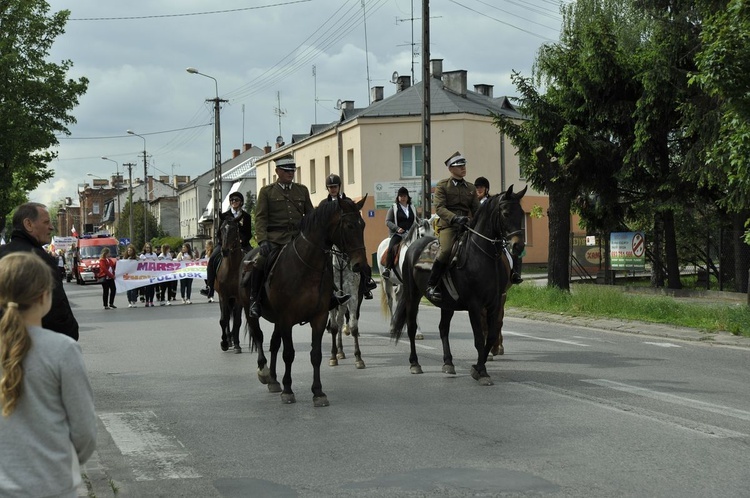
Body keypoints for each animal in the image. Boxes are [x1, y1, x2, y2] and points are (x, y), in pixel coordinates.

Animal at [242, 196, 368, 406]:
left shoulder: (319, 317)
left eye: (363, 225)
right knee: (259, 336)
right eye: (349, 225)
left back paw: (274, 380)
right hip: (250, 311)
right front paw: (288, 390)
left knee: (274, 343)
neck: (307, 267)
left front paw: (318, 392)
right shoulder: (286, 318)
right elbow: (289, 353)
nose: (361, 265)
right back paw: (264, 372)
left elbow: (315, 355)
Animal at [390, 187, 524, 386]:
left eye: (522, 214)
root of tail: (413, 246)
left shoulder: (495, 302)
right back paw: (415, 364)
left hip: (447, 303)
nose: (518, 246)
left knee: (443, 328)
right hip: (413, 295)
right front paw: (482, 372)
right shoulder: (475, 305)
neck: (483, 257)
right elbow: (479, 338)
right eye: (506, 213)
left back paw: (448, 363)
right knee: (412, 326)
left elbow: (490, 335)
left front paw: (478, 367)